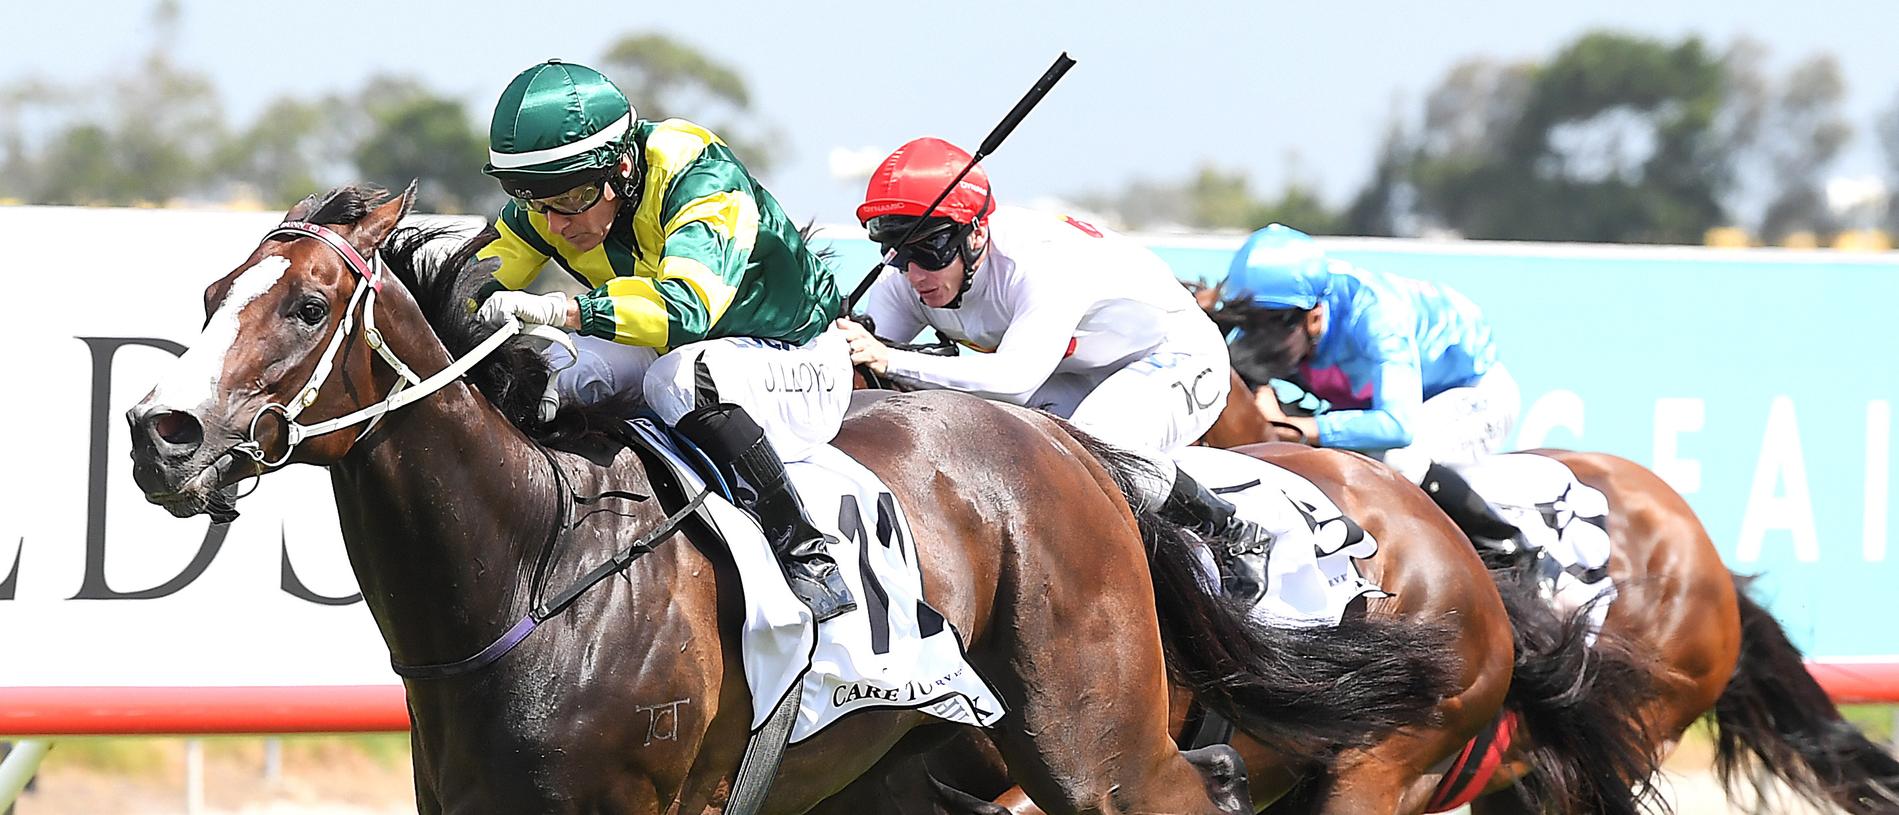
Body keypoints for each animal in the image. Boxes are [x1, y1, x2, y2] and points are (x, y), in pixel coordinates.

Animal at [118, 186, 1458, 813]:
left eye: (304, 306)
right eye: (207, 295)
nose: (159, 436)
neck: (533, 573)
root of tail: (1073, 448)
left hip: (1091, 739)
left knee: (1195, 782)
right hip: (907, 768)